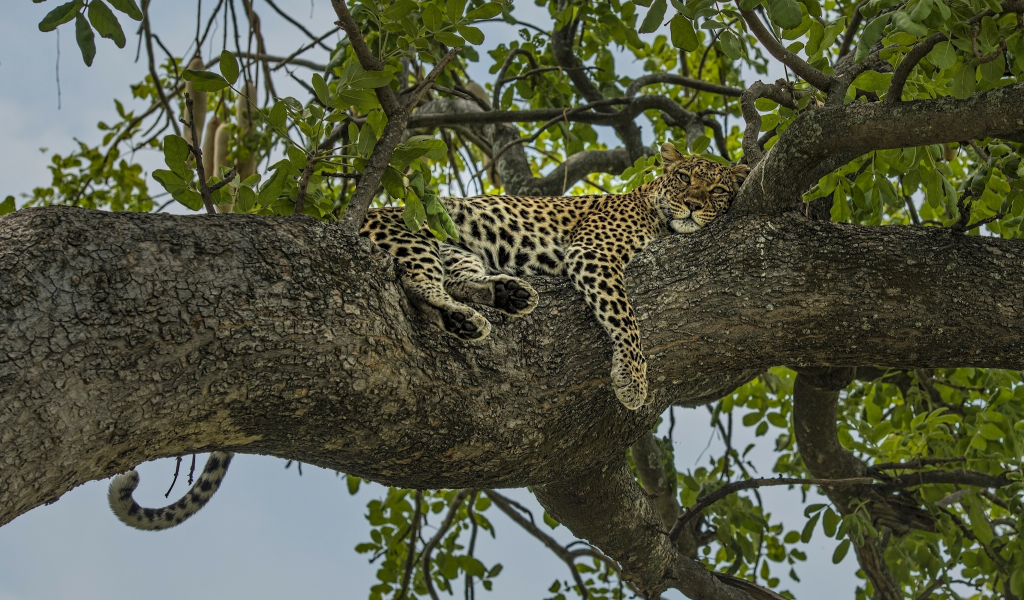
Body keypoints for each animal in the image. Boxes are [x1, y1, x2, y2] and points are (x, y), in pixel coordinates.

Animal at [364, 140, 749, 409]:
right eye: (684, 178)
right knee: (417, 282)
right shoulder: (594, 251)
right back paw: (463, 315)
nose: (694, 206)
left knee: (455, 279)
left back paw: (505, 296)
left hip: (456, 251)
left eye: (717, 191)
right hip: (412, 233)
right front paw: (632, 377)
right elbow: (625, 316)